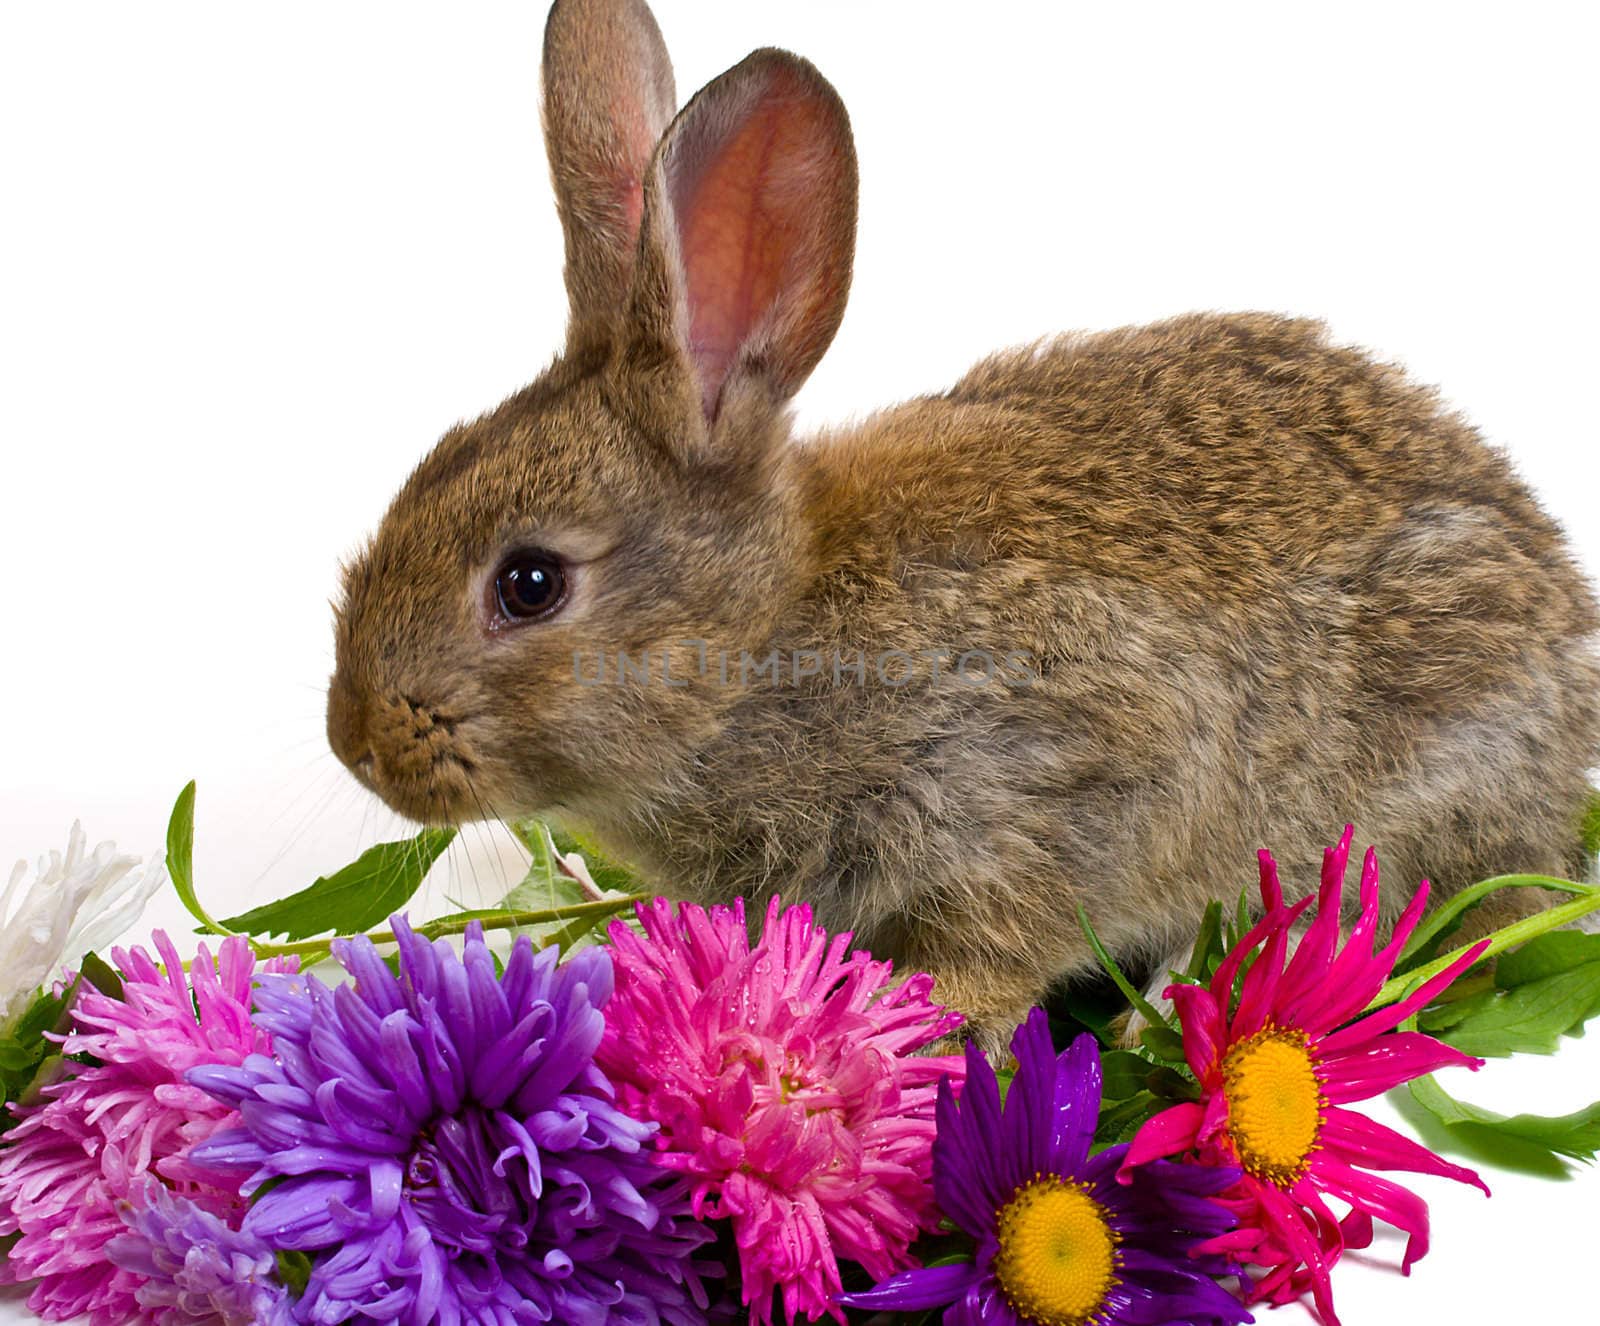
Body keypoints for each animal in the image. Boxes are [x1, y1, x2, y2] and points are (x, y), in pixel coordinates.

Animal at [324, 0, 1600, 1049]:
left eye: (529, 584)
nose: (358, 743)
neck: (760, 648)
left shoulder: (1051, 781)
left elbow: (998, 943)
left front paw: (929, 1030)